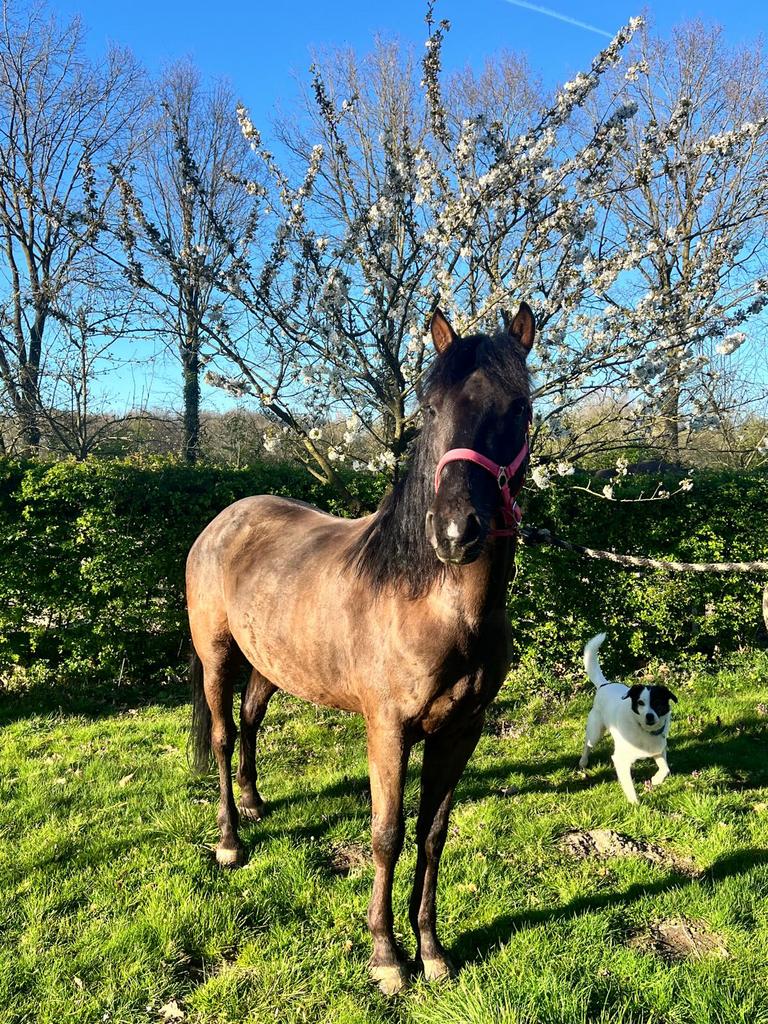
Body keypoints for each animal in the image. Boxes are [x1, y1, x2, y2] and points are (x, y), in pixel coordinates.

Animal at [186, 303, 535, 995]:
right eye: (430, 406)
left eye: (521, 407)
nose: (455, 532)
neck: (434, 600)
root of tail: (224, 521)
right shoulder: (389, 730)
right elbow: (387, 835)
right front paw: (386, 957)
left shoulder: (462, 731)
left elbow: (432, 834)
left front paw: (431, 951)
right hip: (217, 657)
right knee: (221, 734)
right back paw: (231, 840)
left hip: (270, 665)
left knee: (250, 721)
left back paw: (256, 803)